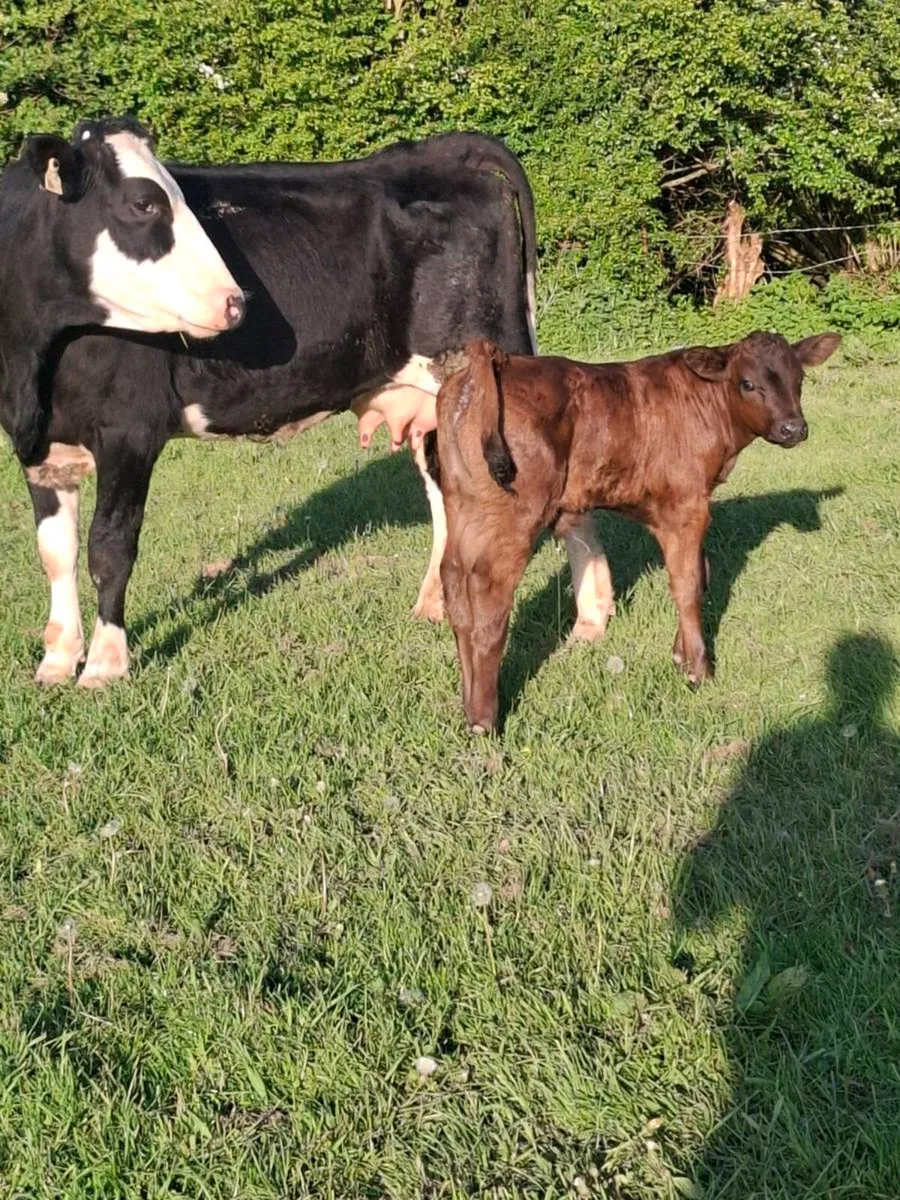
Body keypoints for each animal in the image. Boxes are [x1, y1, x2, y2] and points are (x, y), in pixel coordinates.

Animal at [1, 117, 570, 688]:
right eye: (144, 203)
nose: (236, 301)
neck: (30, 369)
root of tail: (440, 150)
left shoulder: (129, 432)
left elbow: (110, 547)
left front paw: (104, 663)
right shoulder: (39, 449)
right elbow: (56, 553)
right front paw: (57, 659)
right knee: (445, 486)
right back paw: (437, 603)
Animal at [435, 331, 841, 733]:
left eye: (799, 379)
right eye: (748, 383)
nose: (793, 428)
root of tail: (497, 361)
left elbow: (701, 576)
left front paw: (681, 654)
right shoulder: (686, 507)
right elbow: (687, 585)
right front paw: (698, 669)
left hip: (463, 505)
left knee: (454, 584)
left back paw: (467, 703)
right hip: (516, 513)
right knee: (489, 595)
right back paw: (484, 719)